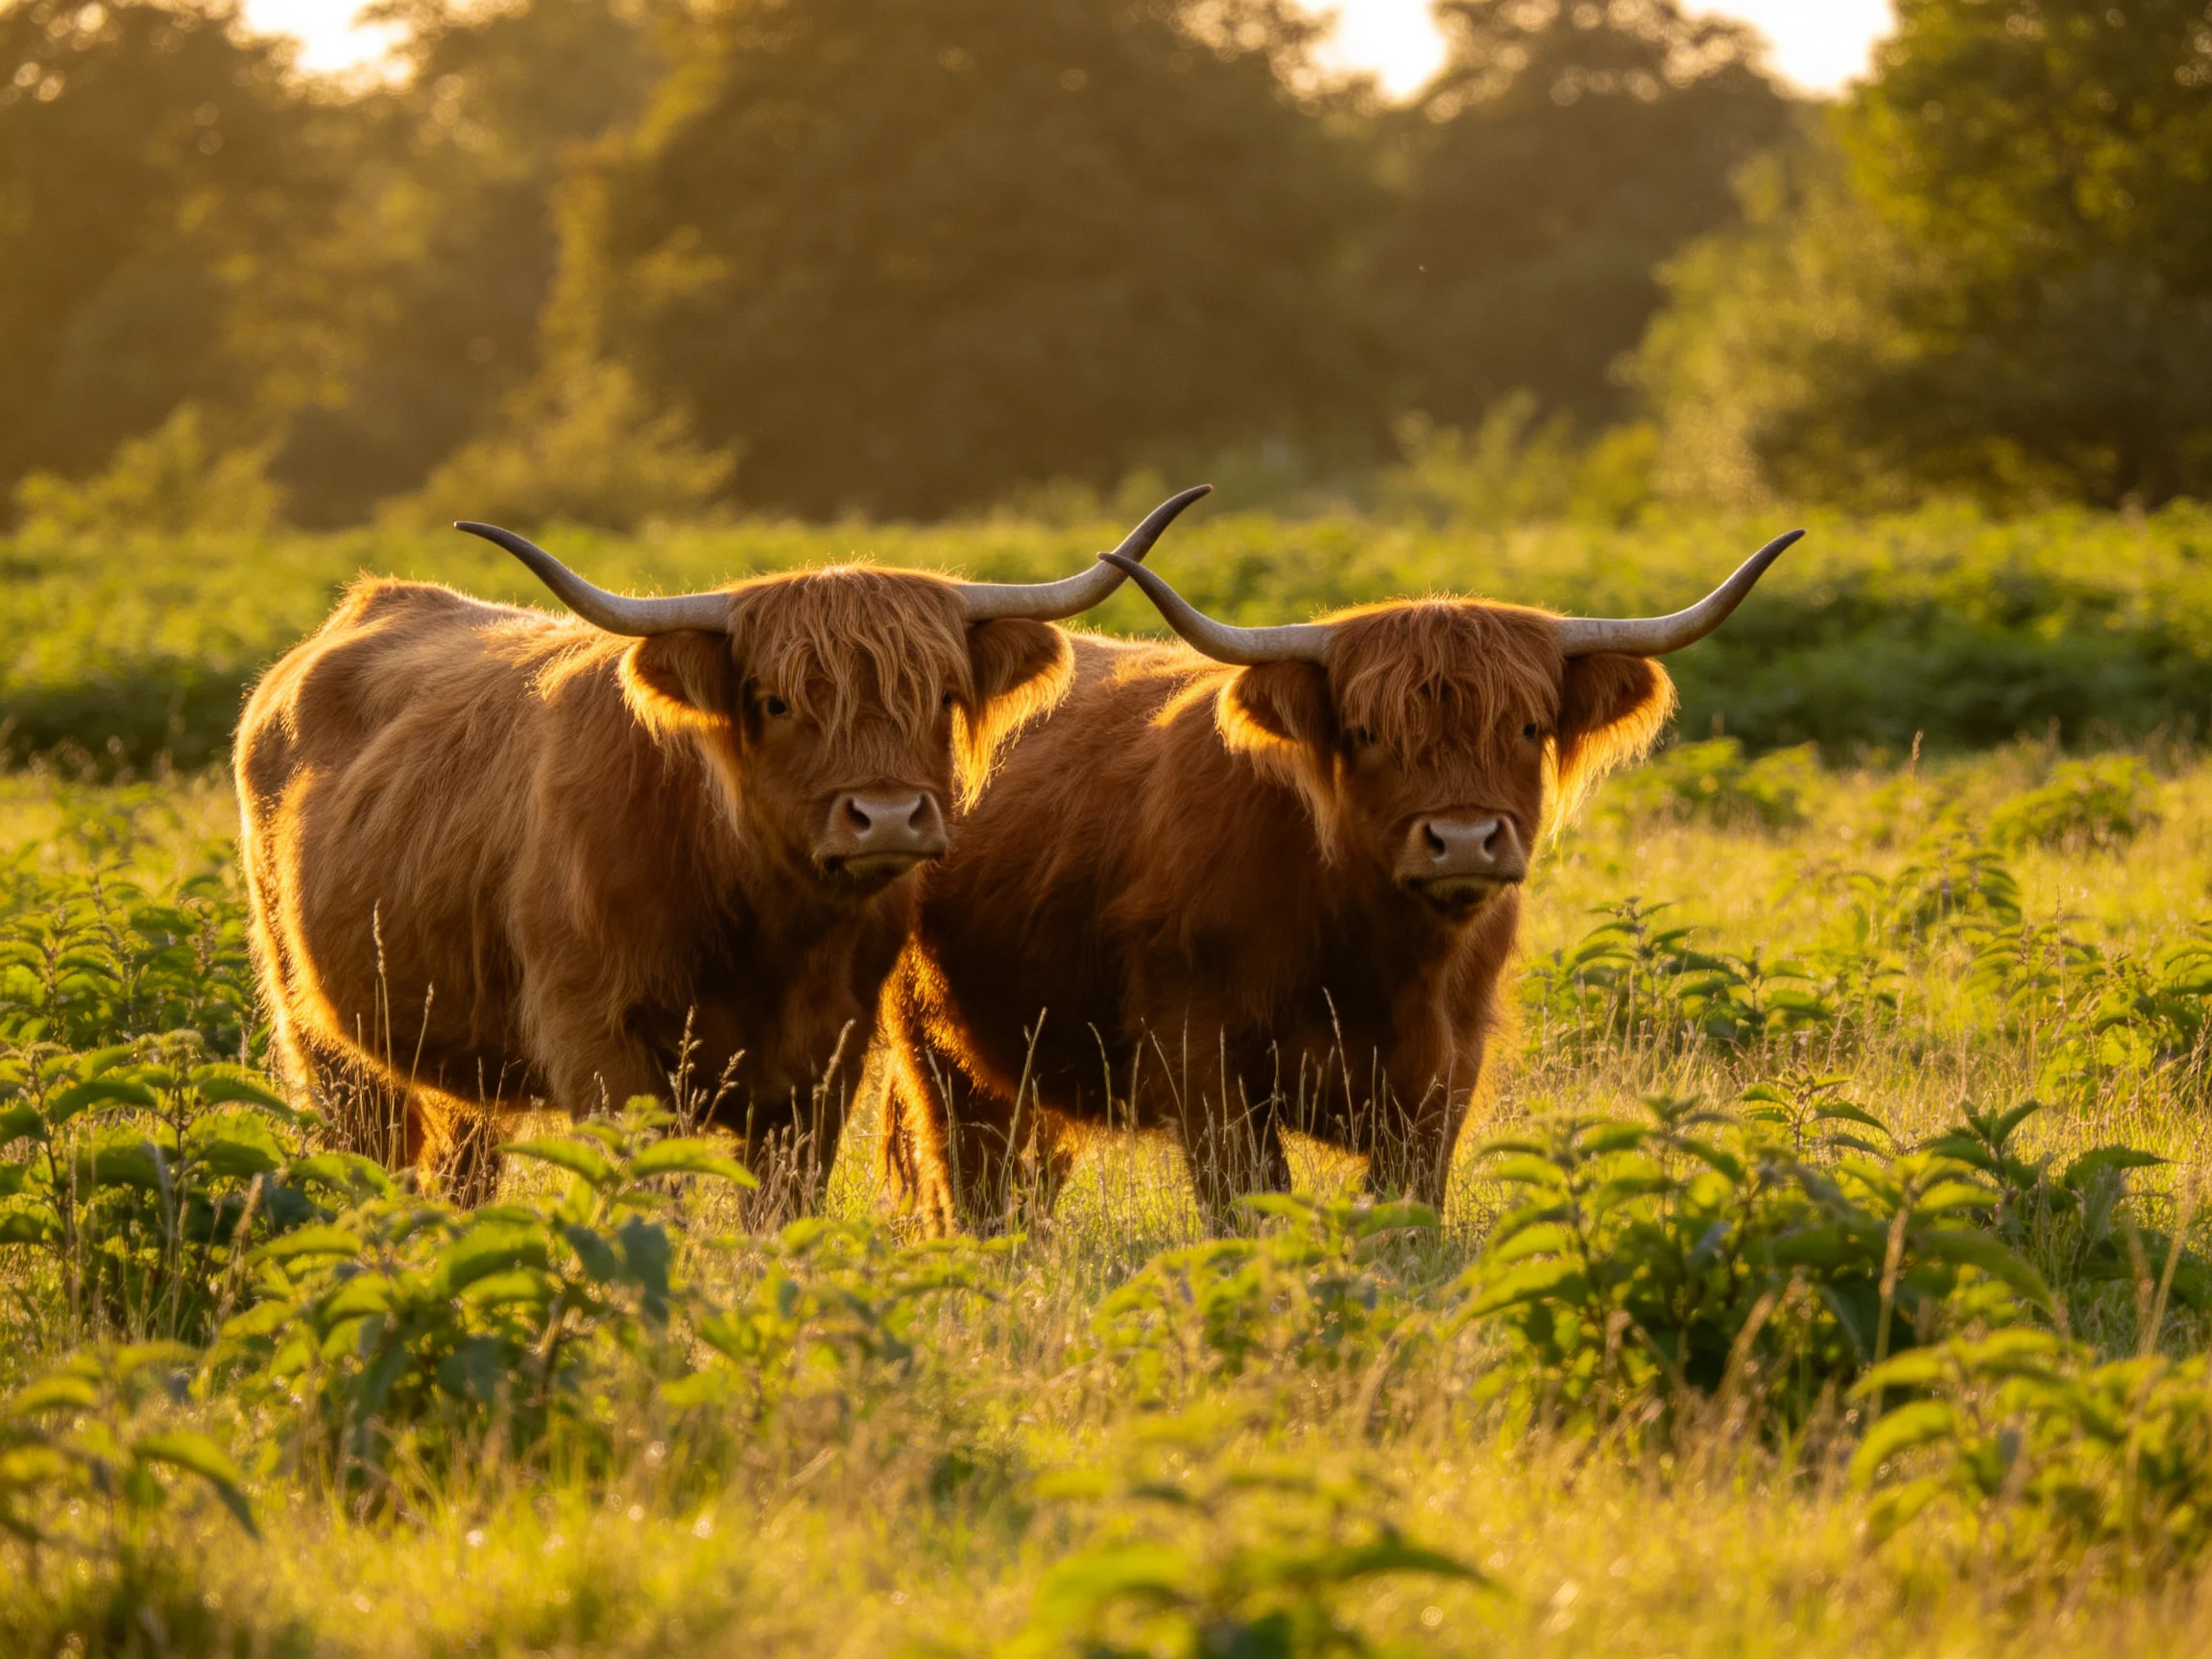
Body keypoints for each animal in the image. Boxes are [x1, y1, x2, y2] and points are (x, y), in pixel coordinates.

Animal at [235, 488, 1210, 1204]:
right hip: (321, 1035)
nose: (890, 817)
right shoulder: (600, 1048)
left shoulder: (820, 1069)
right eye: (776, 701)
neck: (757, 921)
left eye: (939, 695)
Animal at [878, 531, 1801, 1233]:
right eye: (1366, 732)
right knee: (971, 1172)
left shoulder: (1445, 1070)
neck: (1372, 953)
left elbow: (1406, 1206)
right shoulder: (1199, 1056)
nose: (1463, 840)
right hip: (936, 1041)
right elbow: (1251, 1204)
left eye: (1529, 726)